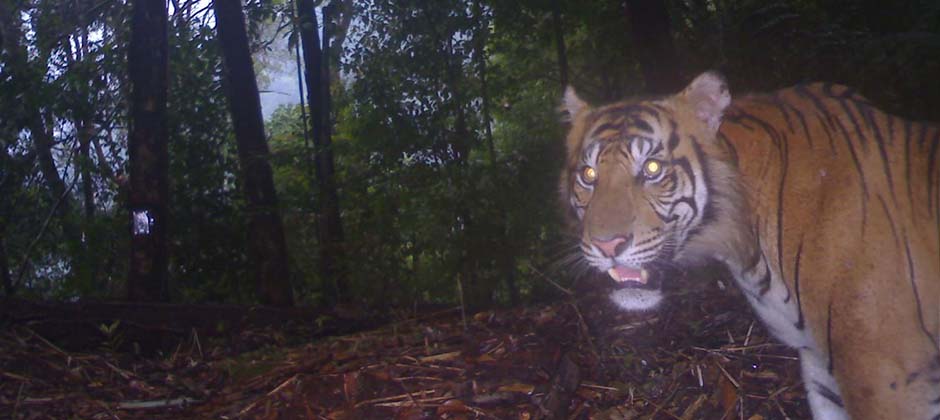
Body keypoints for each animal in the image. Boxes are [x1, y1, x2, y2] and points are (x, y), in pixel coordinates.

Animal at [560, 71, 940, 420]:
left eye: (652, 168)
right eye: (589, 175)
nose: (607, 245)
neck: (745, 242)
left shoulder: (883, 373)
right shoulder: (821, 367)